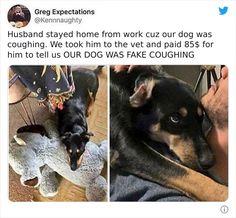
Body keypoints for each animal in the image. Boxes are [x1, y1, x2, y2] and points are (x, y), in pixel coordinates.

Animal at [109, 65, 228, 201]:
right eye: (174, 119)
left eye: (201, 117)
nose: (210, 161)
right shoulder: (128, 147)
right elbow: (190, 175)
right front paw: (224, 193)